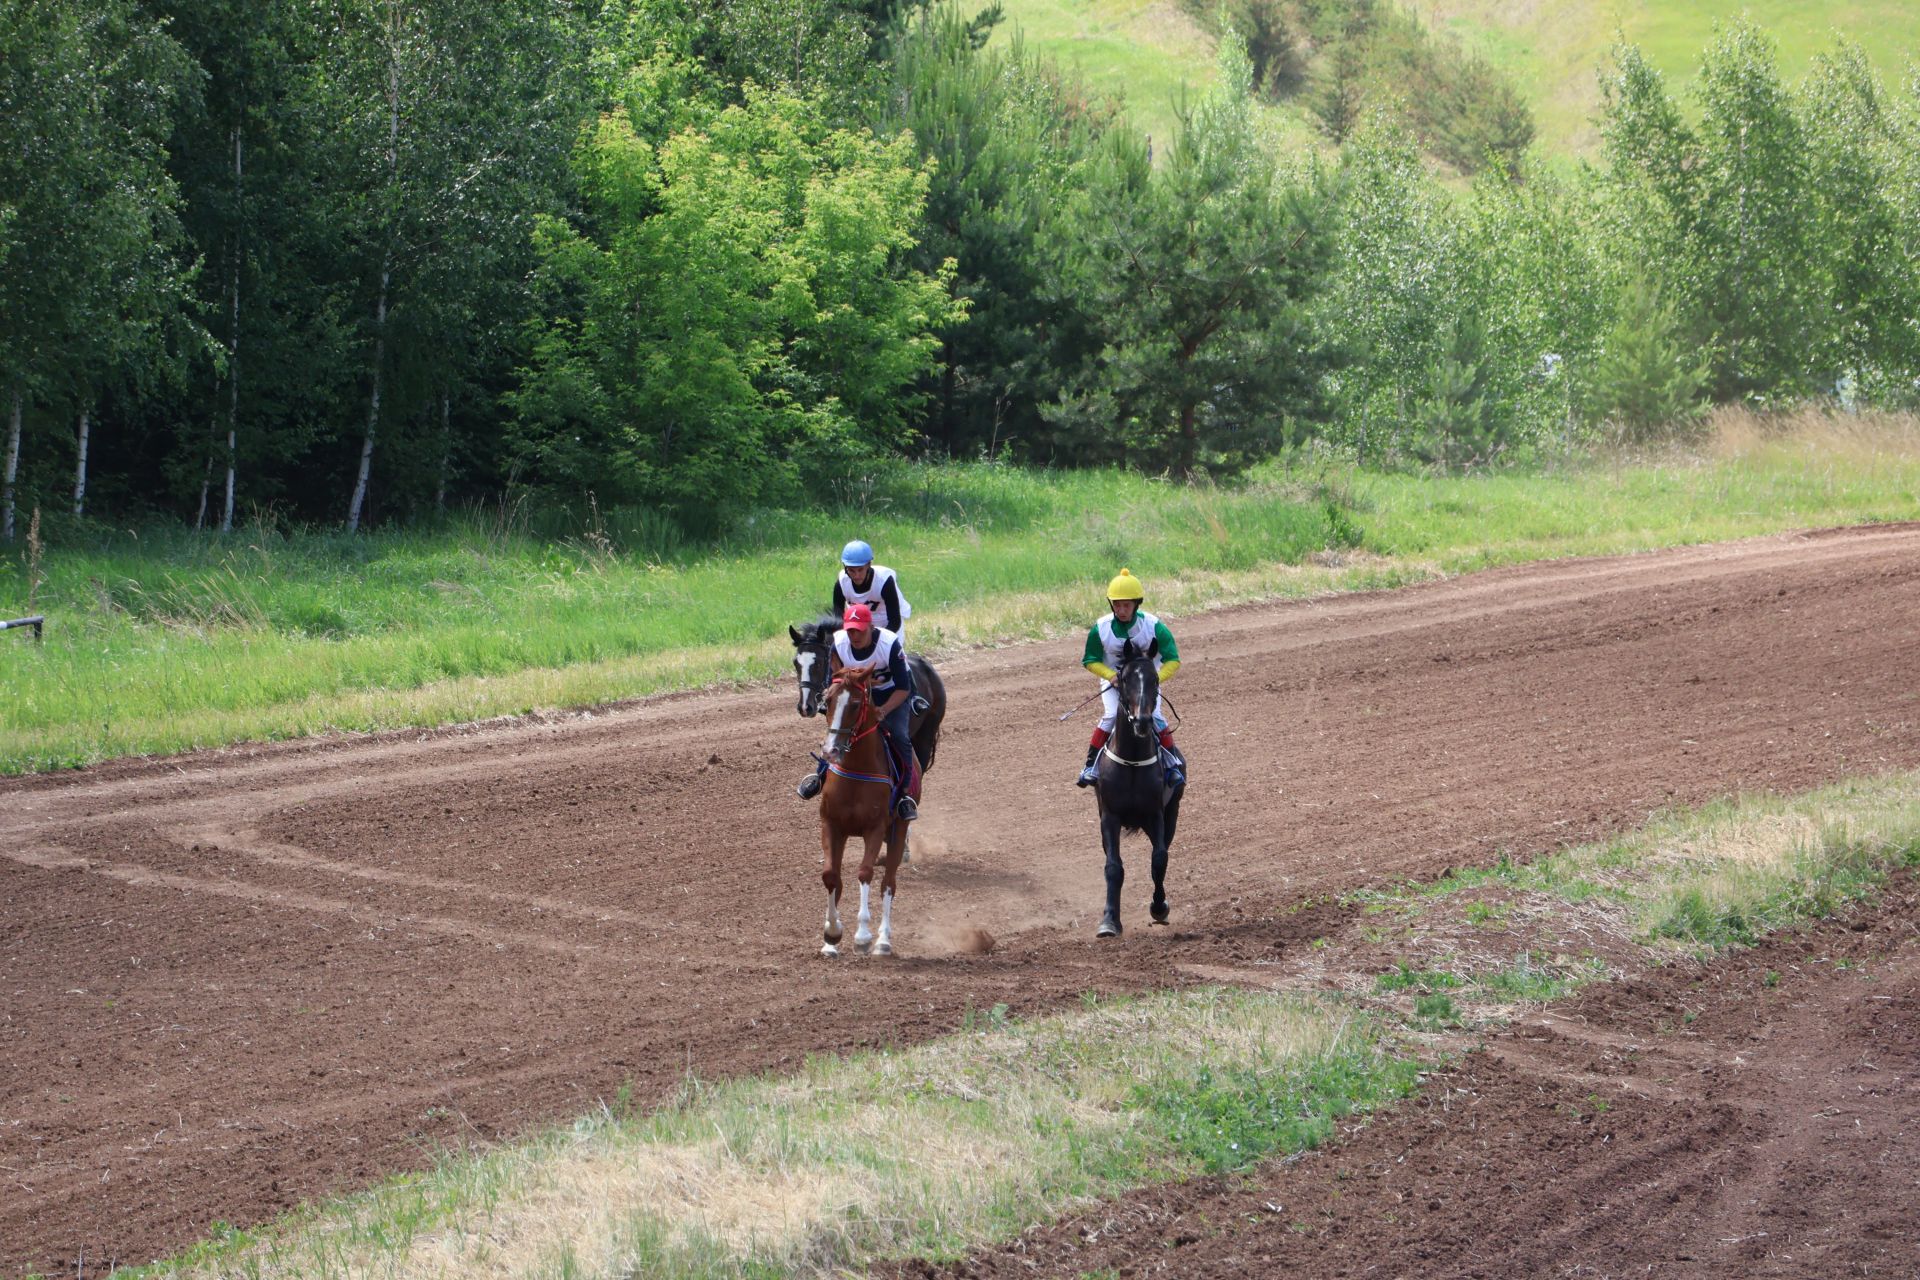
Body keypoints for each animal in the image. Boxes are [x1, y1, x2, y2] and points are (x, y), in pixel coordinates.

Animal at [817, 667, 913, 955]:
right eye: (828, 700)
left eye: (856, 704)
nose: (831, 750)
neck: (857, 768)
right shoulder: (832, 824)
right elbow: (831, 876)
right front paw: (831, 934)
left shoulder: (876, 828)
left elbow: (865, 873)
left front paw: (862, 935)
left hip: (898, 830)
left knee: (888, 884)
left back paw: (883, 941)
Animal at [1090, 644, 1175, 936]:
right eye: (1125, 679)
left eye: (1155, 680)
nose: (1143, 721)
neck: (1132, 760)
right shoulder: (1109, 816)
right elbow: (1113, 867)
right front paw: (1109, 920)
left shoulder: (1155, 814)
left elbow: (1159, 860)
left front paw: (1159, 907)